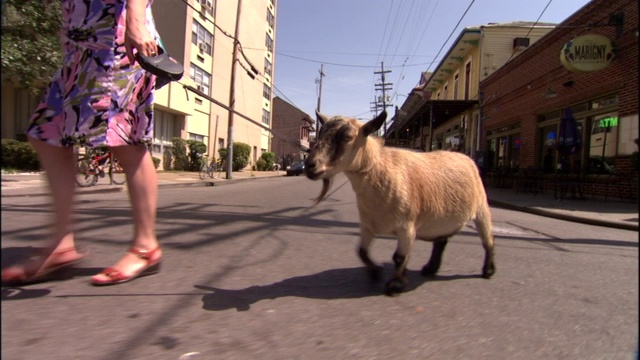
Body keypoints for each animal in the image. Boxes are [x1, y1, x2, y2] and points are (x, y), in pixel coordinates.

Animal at [304, 112, 496, 296]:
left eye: (347, 137)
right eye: (320, 133)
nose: (310, 165)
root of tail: (465, 157)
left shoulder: (407, 227)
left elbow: (399, 257)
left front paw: (395, 285)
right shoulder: (368, 225)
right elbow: (361, 251)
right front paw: (376, 272)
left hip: (481, 209)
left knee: (488, 240)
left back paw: (488, 271)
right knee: (441, 242)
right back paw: (430, 268)